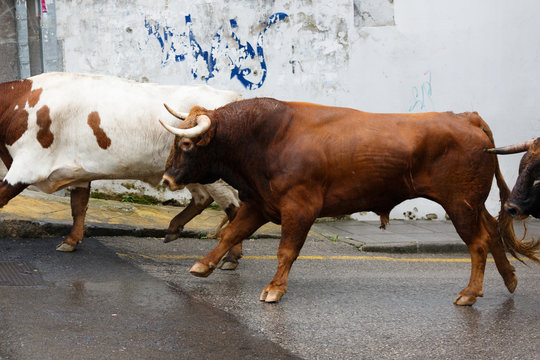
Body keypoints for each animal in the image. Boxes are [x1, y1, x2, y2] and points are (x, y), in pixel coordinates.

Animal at [0, 71, 242, 268]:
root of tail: (234, 97)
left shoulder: (25, 167)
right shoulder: (77, 172)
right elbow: (79, 207)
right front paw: (71, 241)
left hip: (215, 177)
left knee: (235, 209)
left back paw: (231, 258)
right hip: (190, 172)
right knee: (203, 198)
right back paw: (174, 229)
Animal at [158, 97, 536, 304]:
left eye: (187, 144)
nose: (166, 180)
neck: (268, 137)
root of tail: (464, 117)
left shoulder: (299, 208)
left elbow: (286, 250)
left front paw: (275, 288)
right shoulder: (259, 203)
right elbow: (230, 234)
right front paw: (204, 264)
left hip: (460, 204)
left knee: (478, 243)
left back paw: (469, 293)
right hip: (471, 204)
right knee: (493, 232)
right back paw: (510, 279)